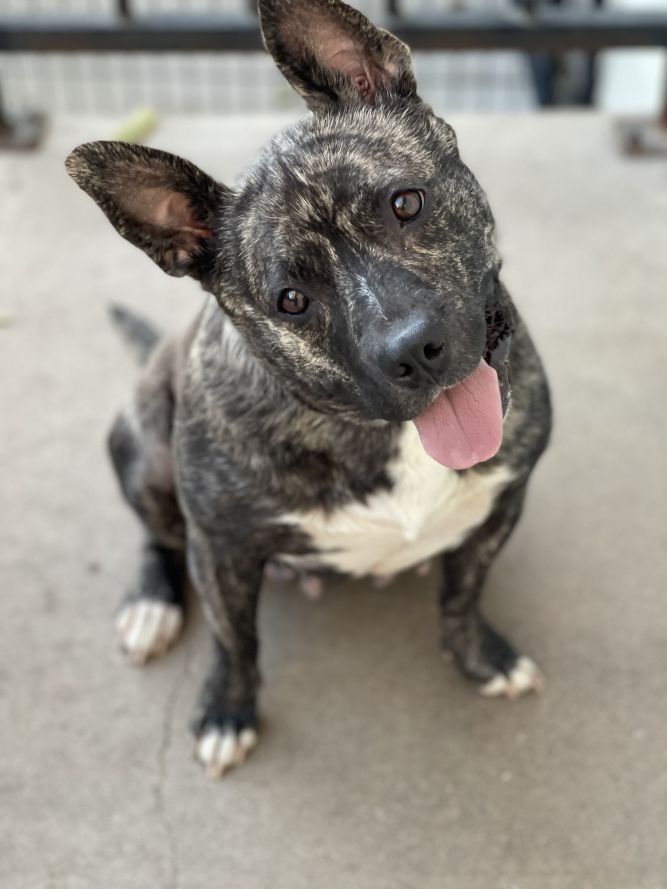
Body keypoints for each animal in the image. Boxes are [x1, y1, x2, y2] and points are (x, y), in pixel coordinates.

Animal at [64, 0, 552, 776]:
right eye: (290, 300)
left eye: (405, 203)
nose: (413, 348)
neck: (386, 433)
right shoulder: (222, 548)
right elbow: (236, 640)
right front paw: (228, 709)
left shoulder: (503, 501)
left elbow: (462, 591)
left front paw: (480, 656)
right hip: (141, 449)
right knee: (156, 533)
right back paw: (152, 604)